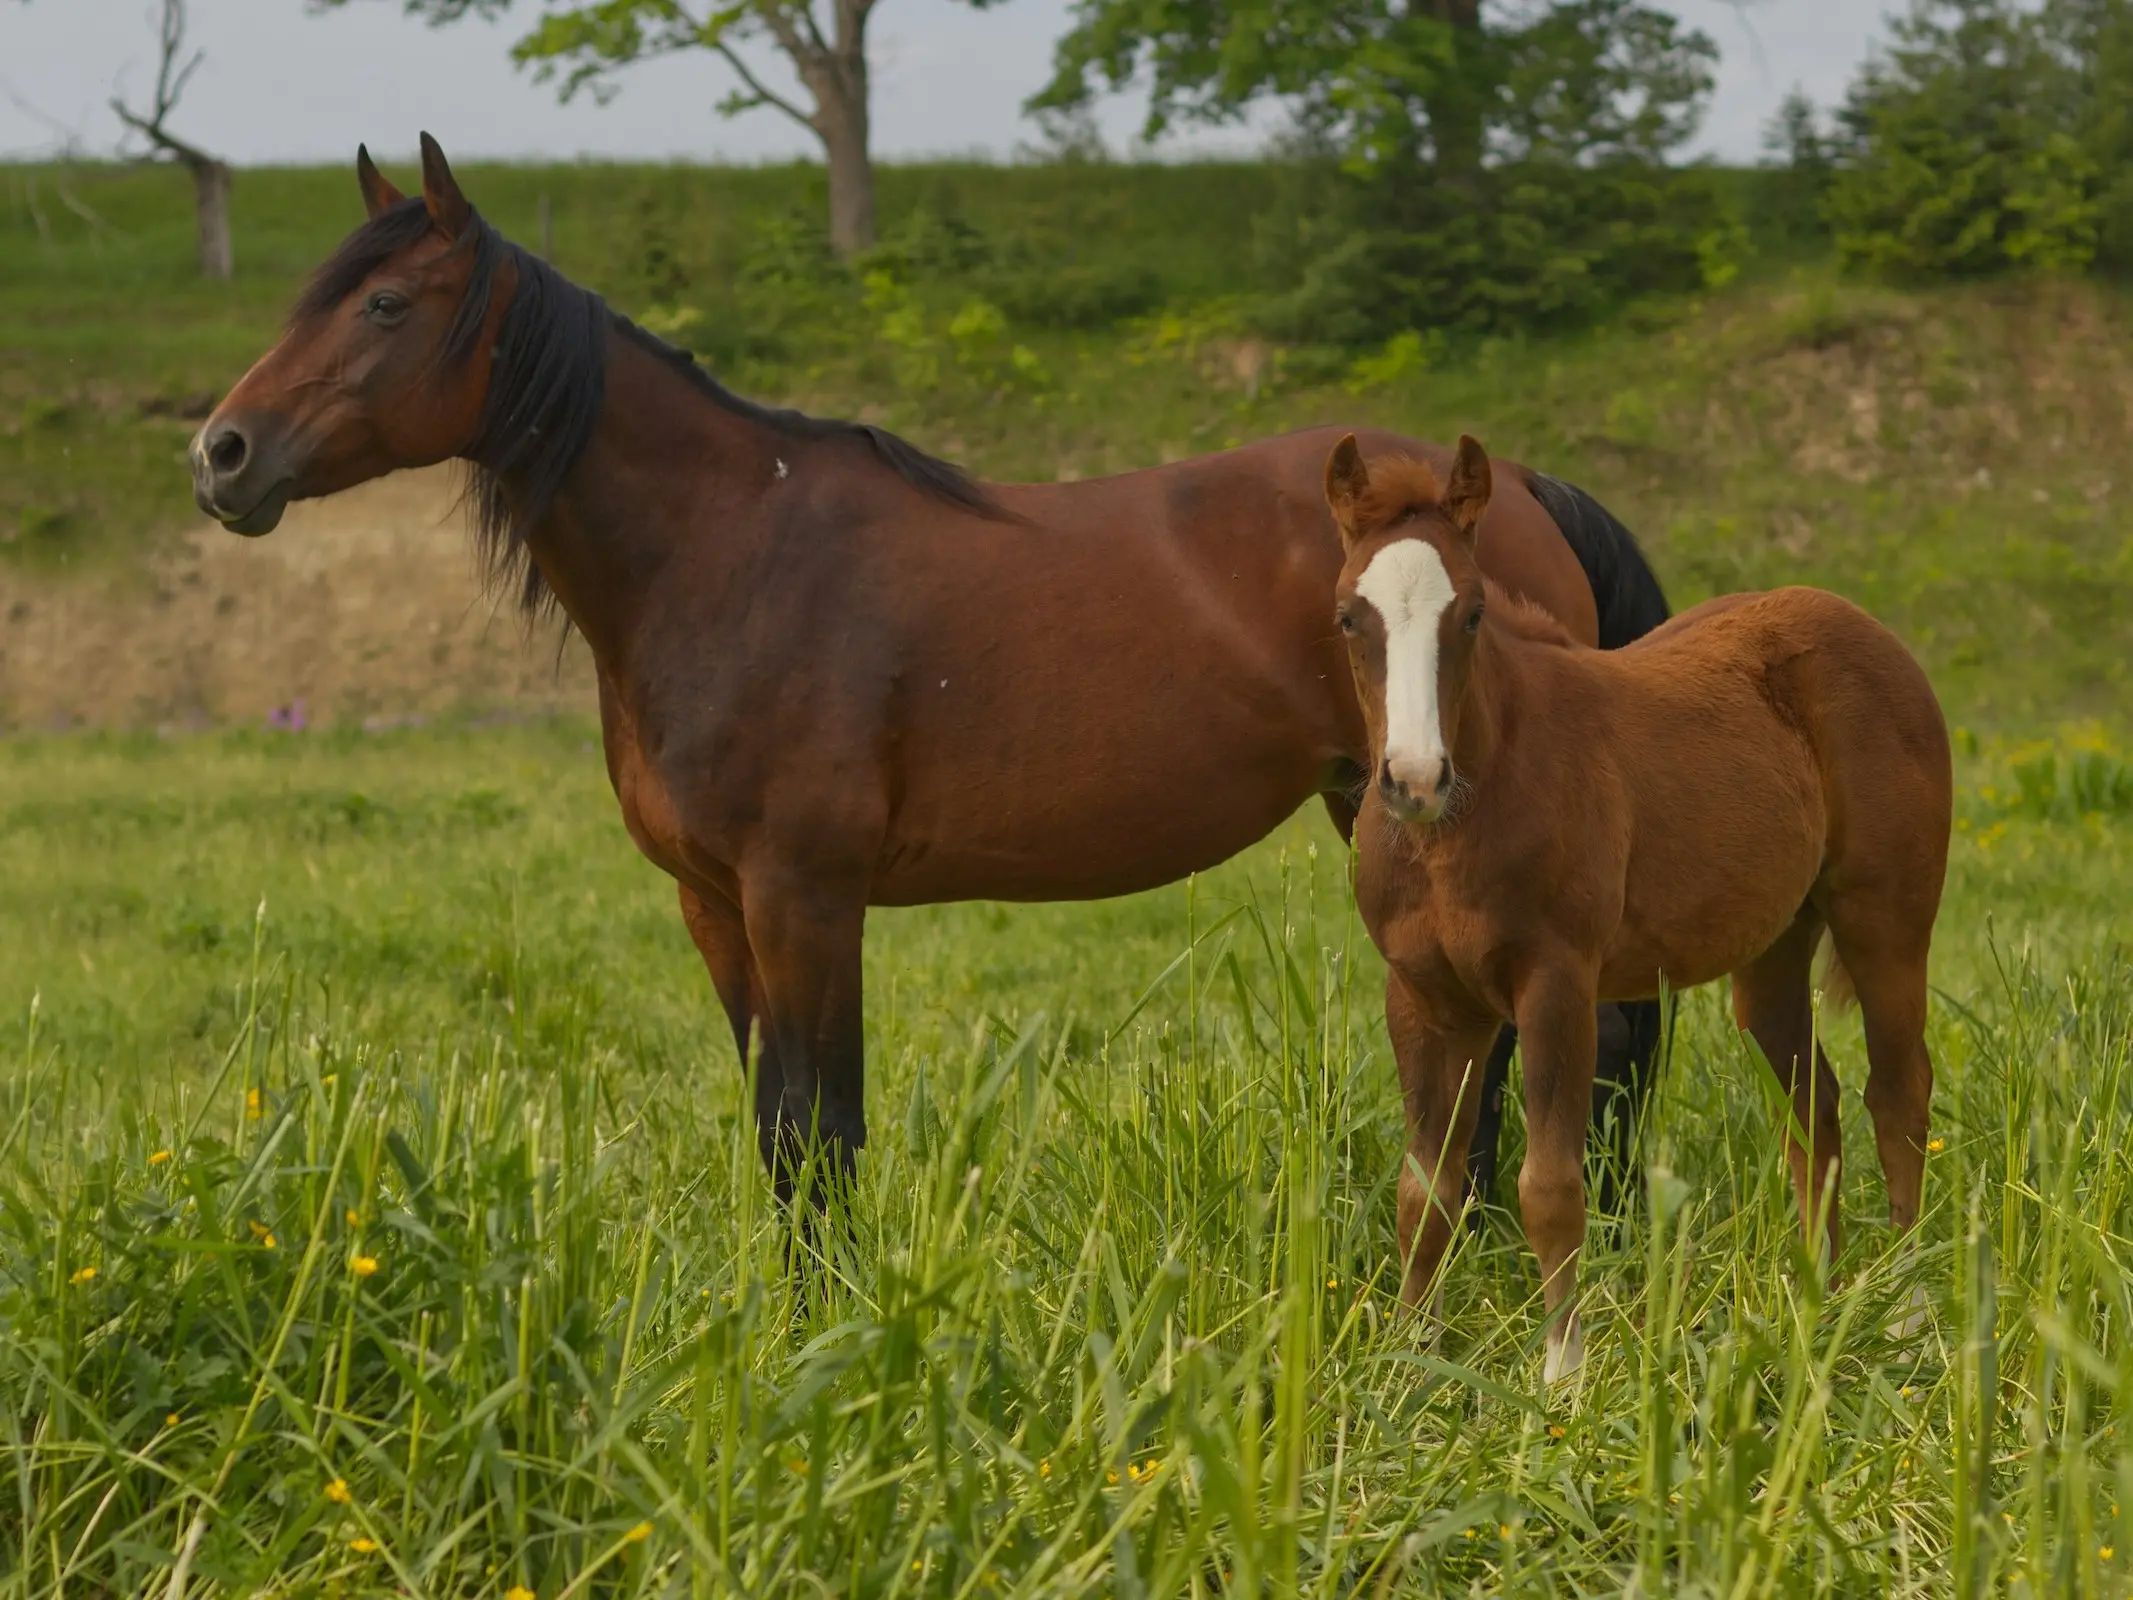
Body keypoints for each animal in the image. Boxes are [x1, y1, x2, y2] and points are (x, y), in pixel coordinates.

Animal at [196, 137, 1663, 1211]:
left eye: (387, 303)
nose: (221, 454)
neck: (731, 555)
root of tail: (1518, 488)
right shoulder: (714, 907)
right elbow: (775, 1132)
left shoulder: (805, 898)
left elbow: (819, 1131)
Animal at [1322, 435, 1953, 1382]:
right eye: (1347, 617)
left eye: (1469, 614)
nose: (1414, 779)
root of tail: (1869, 631)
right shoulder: (1424, 999)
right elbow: (1424, 1191)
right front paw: (1409, 1363)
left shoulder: (1554, 986)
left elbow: (1548, 1185)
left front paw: (1562, 1376)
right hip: (1771, 952)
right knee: (1814, 1104)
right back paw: (1816, 1302)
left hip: (1885, 920)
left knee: (1897, 1093)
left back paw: (1907, 1314)